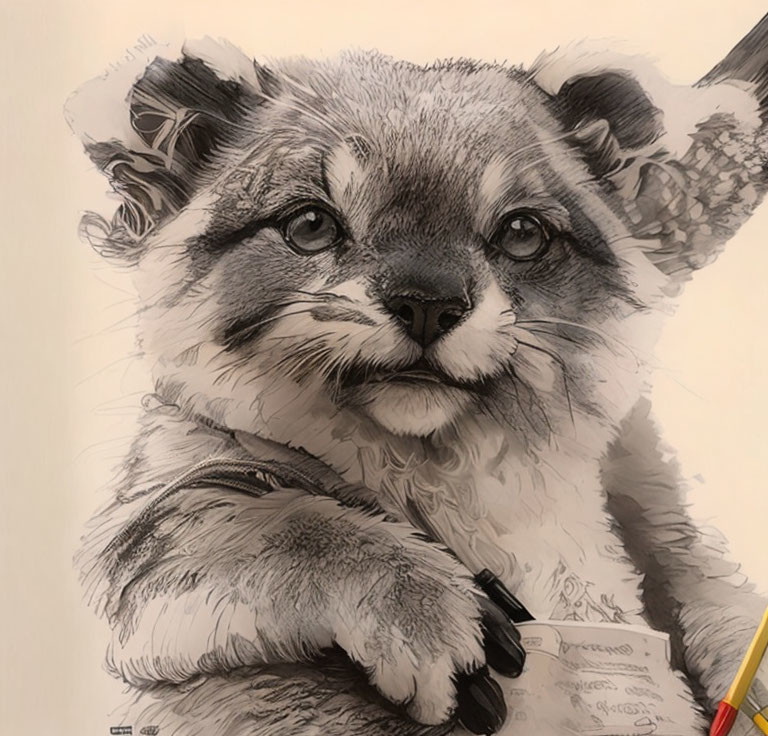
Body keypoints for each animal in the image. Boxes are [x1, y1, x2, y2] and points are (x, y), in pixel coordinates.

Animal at [70, 21, 768, 736]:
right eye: (310, 224)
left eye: (522, 233)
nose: (427, 303)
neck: (444, 468)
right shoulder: (158, 518)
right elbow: (258, 526)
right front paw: (427, 619)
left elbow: (701, 583)